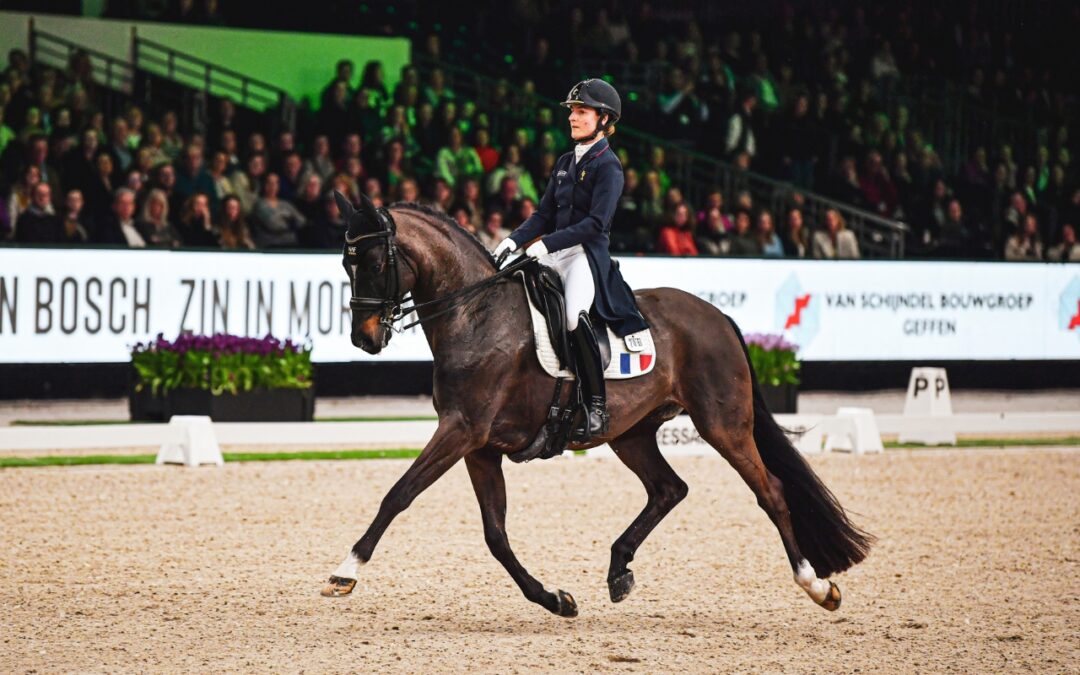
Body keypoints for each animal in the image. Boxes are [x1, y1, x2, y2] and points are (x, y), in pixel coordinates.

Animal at [319, 193, 868, 617]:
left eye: (374, 264)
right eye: (346, 264)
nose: (364, 339)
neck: (476, 314)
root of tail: (717, 315)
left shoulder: (461, 431)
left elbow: (398, 495)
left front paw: (345, 572)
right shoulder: (479, 447)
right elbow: (495, 535)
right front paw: (556, 600)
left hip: (723, 424)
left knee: (770, 491)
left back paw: (818, 587)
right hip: (632, 434)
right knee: (669, 489)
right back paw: (618, 569)